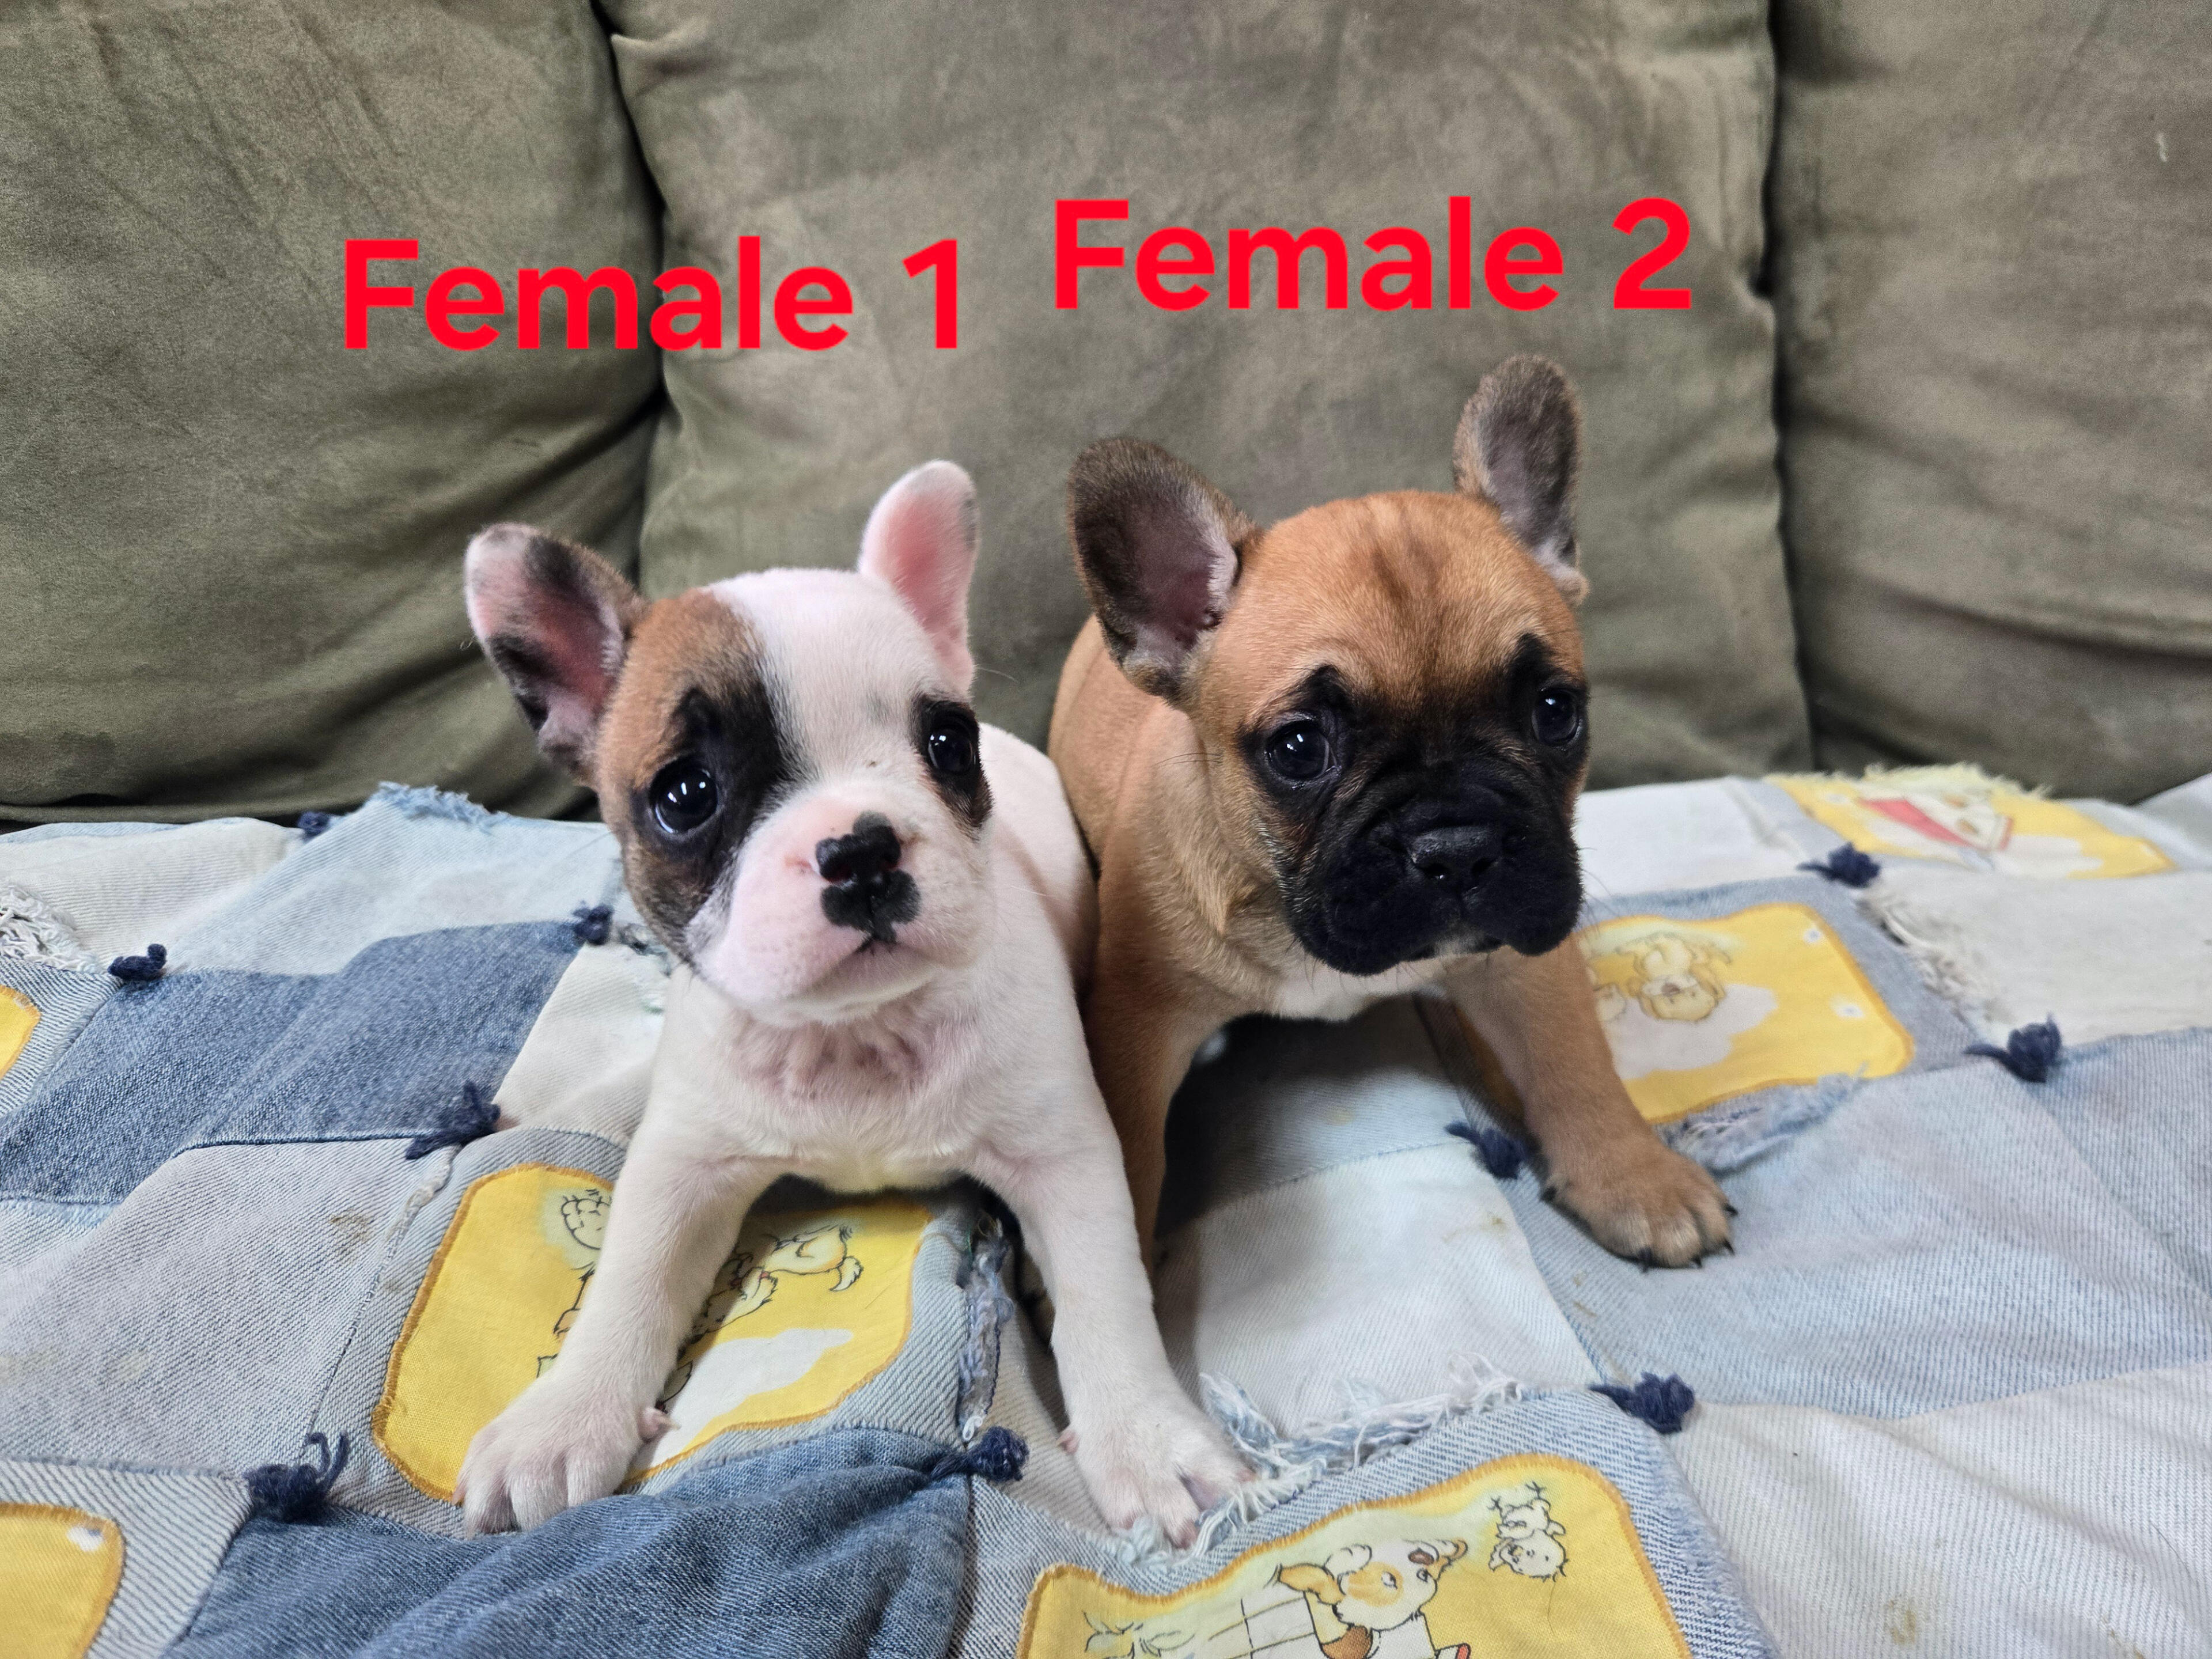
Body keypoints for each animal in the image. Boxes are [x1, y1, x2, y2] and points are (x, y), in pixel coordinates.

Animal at [454, 461, 1246, 1541]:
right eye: (686, 795)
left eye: (947, 742)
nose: (862, 847)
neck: (857, 1034)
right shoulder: (682, 1166)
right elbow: (630, 1279)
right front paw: (563, 1417)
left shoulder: (1067, 1155)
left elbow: (1104, 1293)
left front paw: (1147, 1437)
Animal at [1047, 356, 1731, 1266]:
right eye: (1299, 748)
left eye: (1555, 711)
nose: (1458, 844)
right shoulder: (1136, 1019)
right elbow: (1124, 1160)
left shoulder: (1524, 956)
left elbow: (1573, 1059)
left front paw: (1635, 1177)